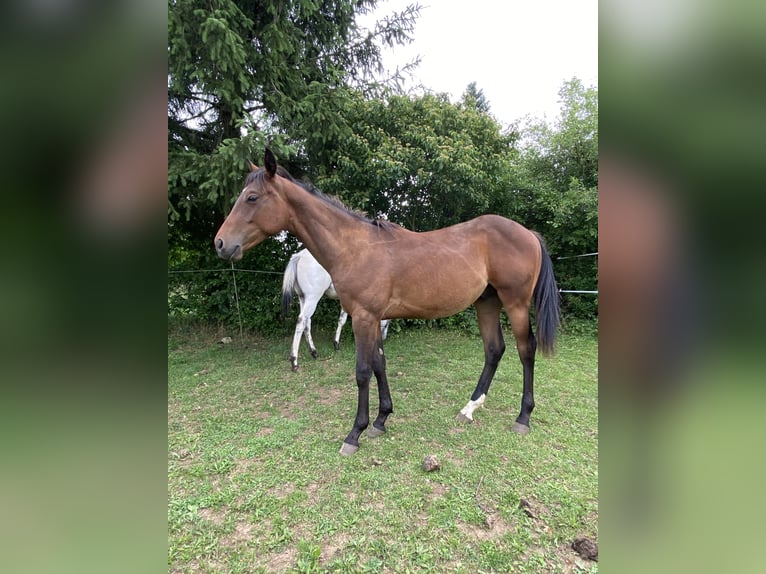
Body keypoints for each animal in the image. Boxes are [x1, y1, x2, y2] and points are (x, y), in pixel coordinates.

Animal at [215, 150, 560, 455]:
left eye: (252, 198)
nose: (220, 243)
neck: (355, 247)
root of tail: (528, 233)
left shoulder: (364, 317)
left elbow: (363, 371)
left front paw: (355, 433)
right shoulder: (371, 317)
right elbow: (380, 364)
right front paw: (381, 419)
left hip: (515, 304)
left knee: (525, 350)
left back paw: (523, 417)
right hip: (486, 302)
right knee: (494, 350)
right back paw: (469, 407)